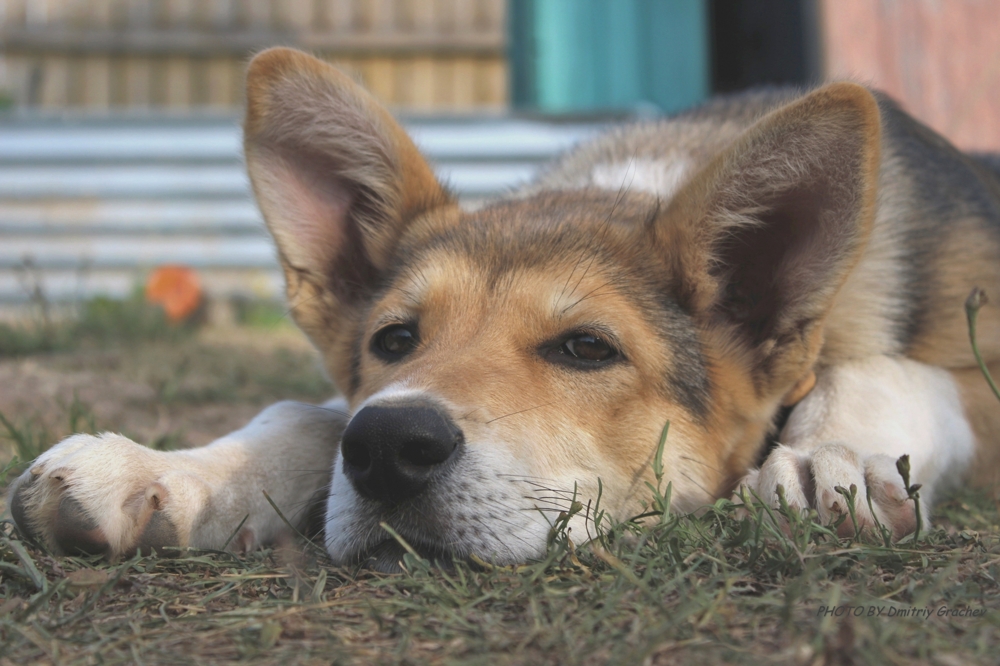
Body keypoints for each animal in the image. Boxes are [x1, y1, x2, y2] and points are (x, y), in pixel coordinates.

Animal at [7, 48, 1000, 572]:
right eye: (394, 338)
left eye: (588, 348)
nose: (386, 447)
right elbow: (304, 412)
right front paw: (165, 470)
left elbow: (879, 367)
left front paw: (834, 455)